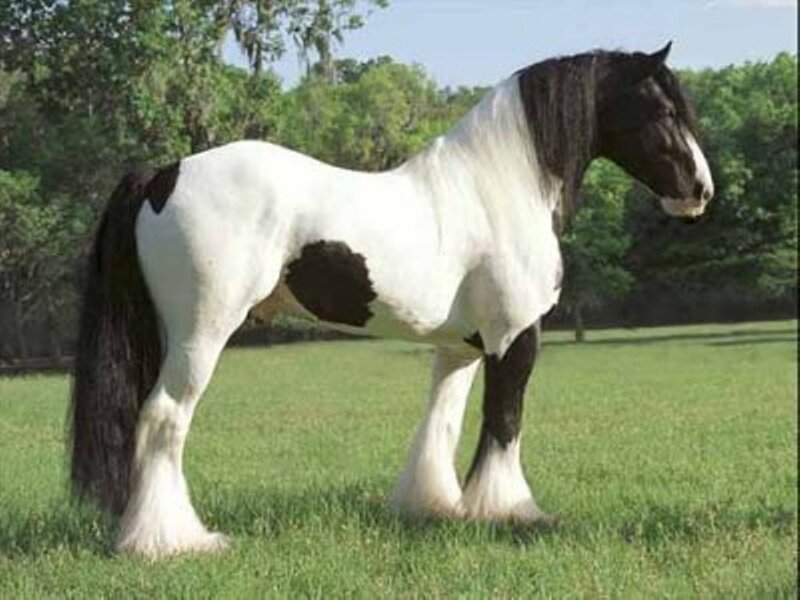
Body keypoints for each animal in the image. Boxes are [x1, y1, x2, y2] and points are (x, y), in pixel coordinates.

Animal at [68, 42, 713, 557]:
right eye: (662, 110)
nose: (701, 192)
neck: (496, 190)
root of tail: (164, 174)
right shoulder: (514, 338)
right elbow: (504, 422)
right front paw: (511, 512)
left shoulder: (461, 348)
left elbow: (442, 422)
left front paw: (434, 506)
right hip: (201, 331)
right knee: (164, 418)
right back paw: (170, 542)